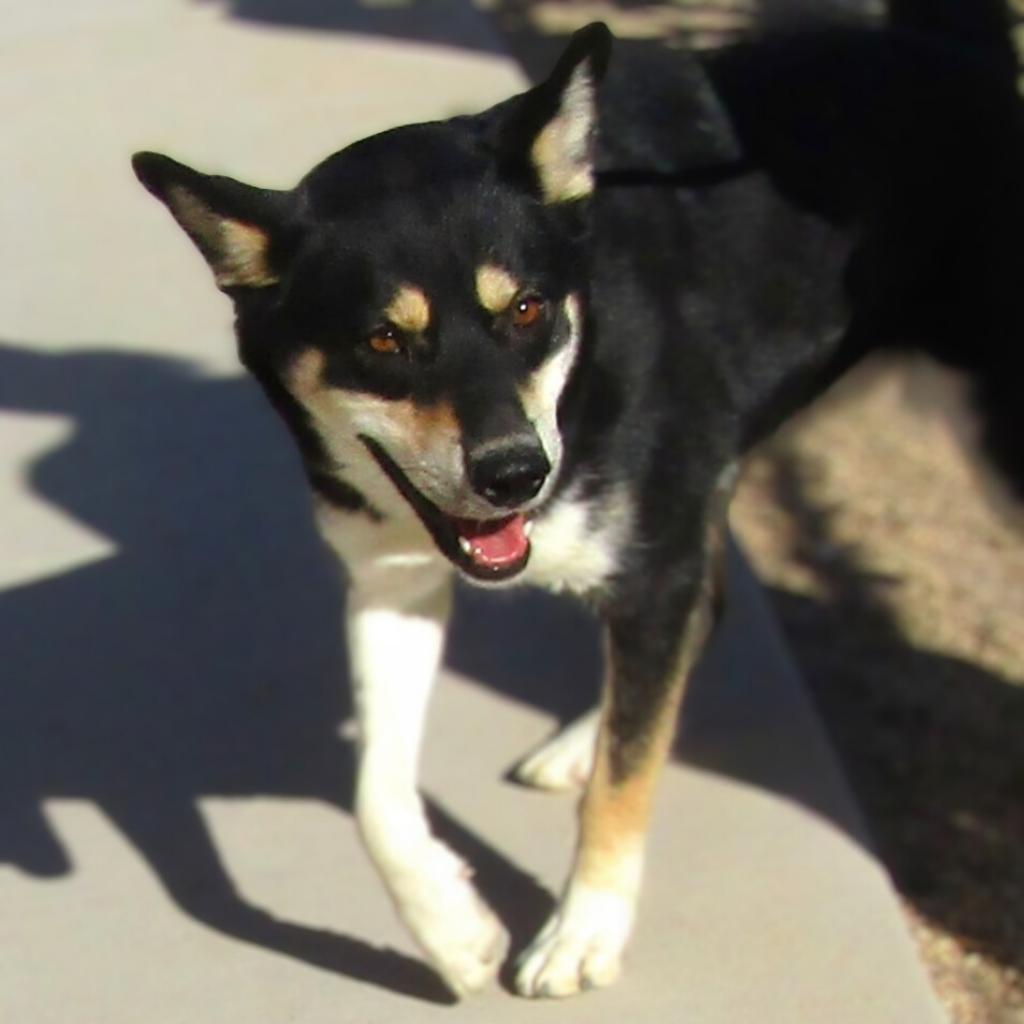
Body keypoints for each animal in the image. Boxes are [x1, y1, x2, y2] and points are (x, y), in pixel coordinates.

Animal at [132, 4, 1019, 999]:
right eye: (383, 341)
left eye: (525, 310)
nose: (515, 474)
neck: (581, 381)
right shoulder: (394, 584)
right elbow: (375, 795)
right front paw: (452, 929)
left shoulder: (650, 559)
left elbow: (623, 783)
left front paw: (586, 926)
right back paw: (581, 740)